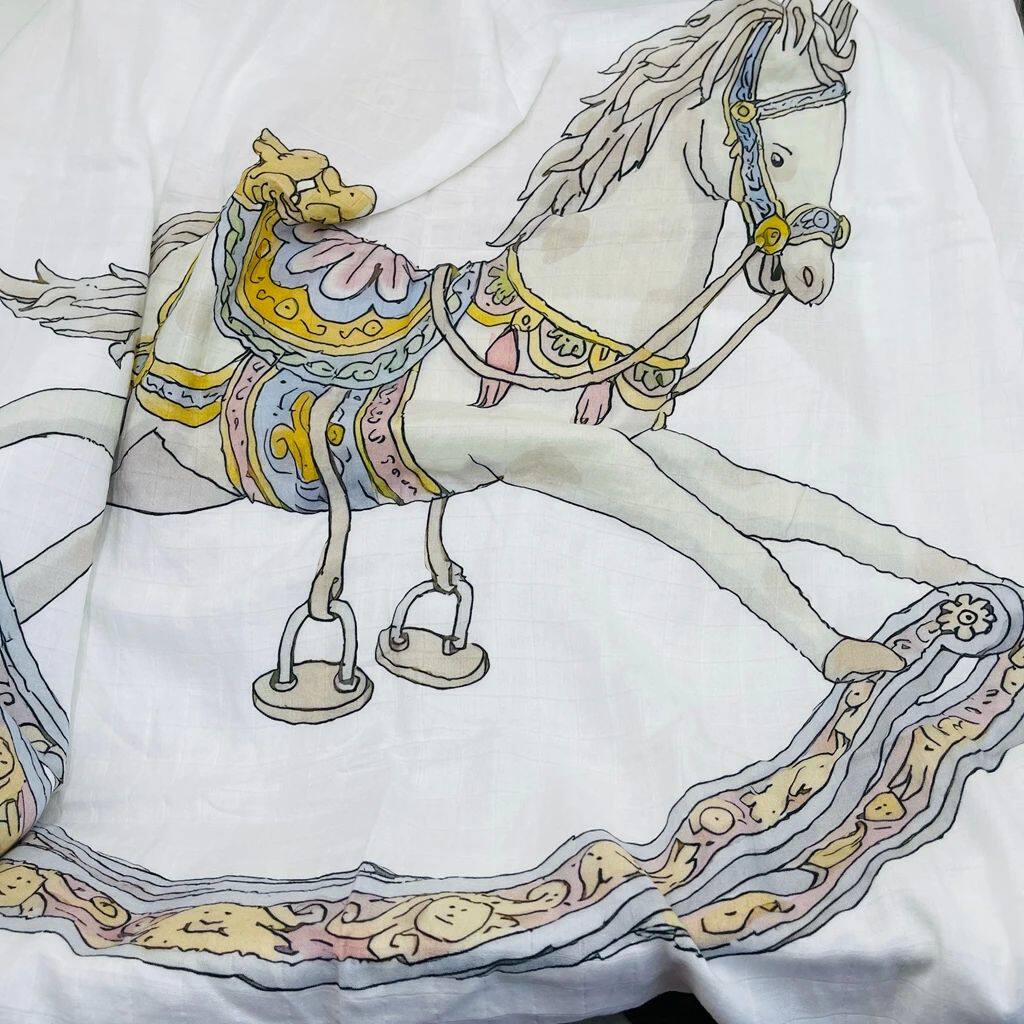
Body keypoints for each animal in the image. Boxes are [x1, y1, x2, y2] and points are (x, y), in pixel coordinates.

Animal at [0, 0, 997, 726]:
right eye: (779, 151)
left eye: (841, 153)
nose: (810, 275)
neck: (579, 315)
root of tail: (186, 245)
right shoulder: (570, 457)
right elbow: (724, 541)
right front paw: (851, 655)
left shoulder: (646, 444)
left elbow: (797, 509)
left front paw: (963, 581)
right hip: (160, 428)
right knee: (44, 410)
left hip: (177, 479)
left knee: (65, 546)